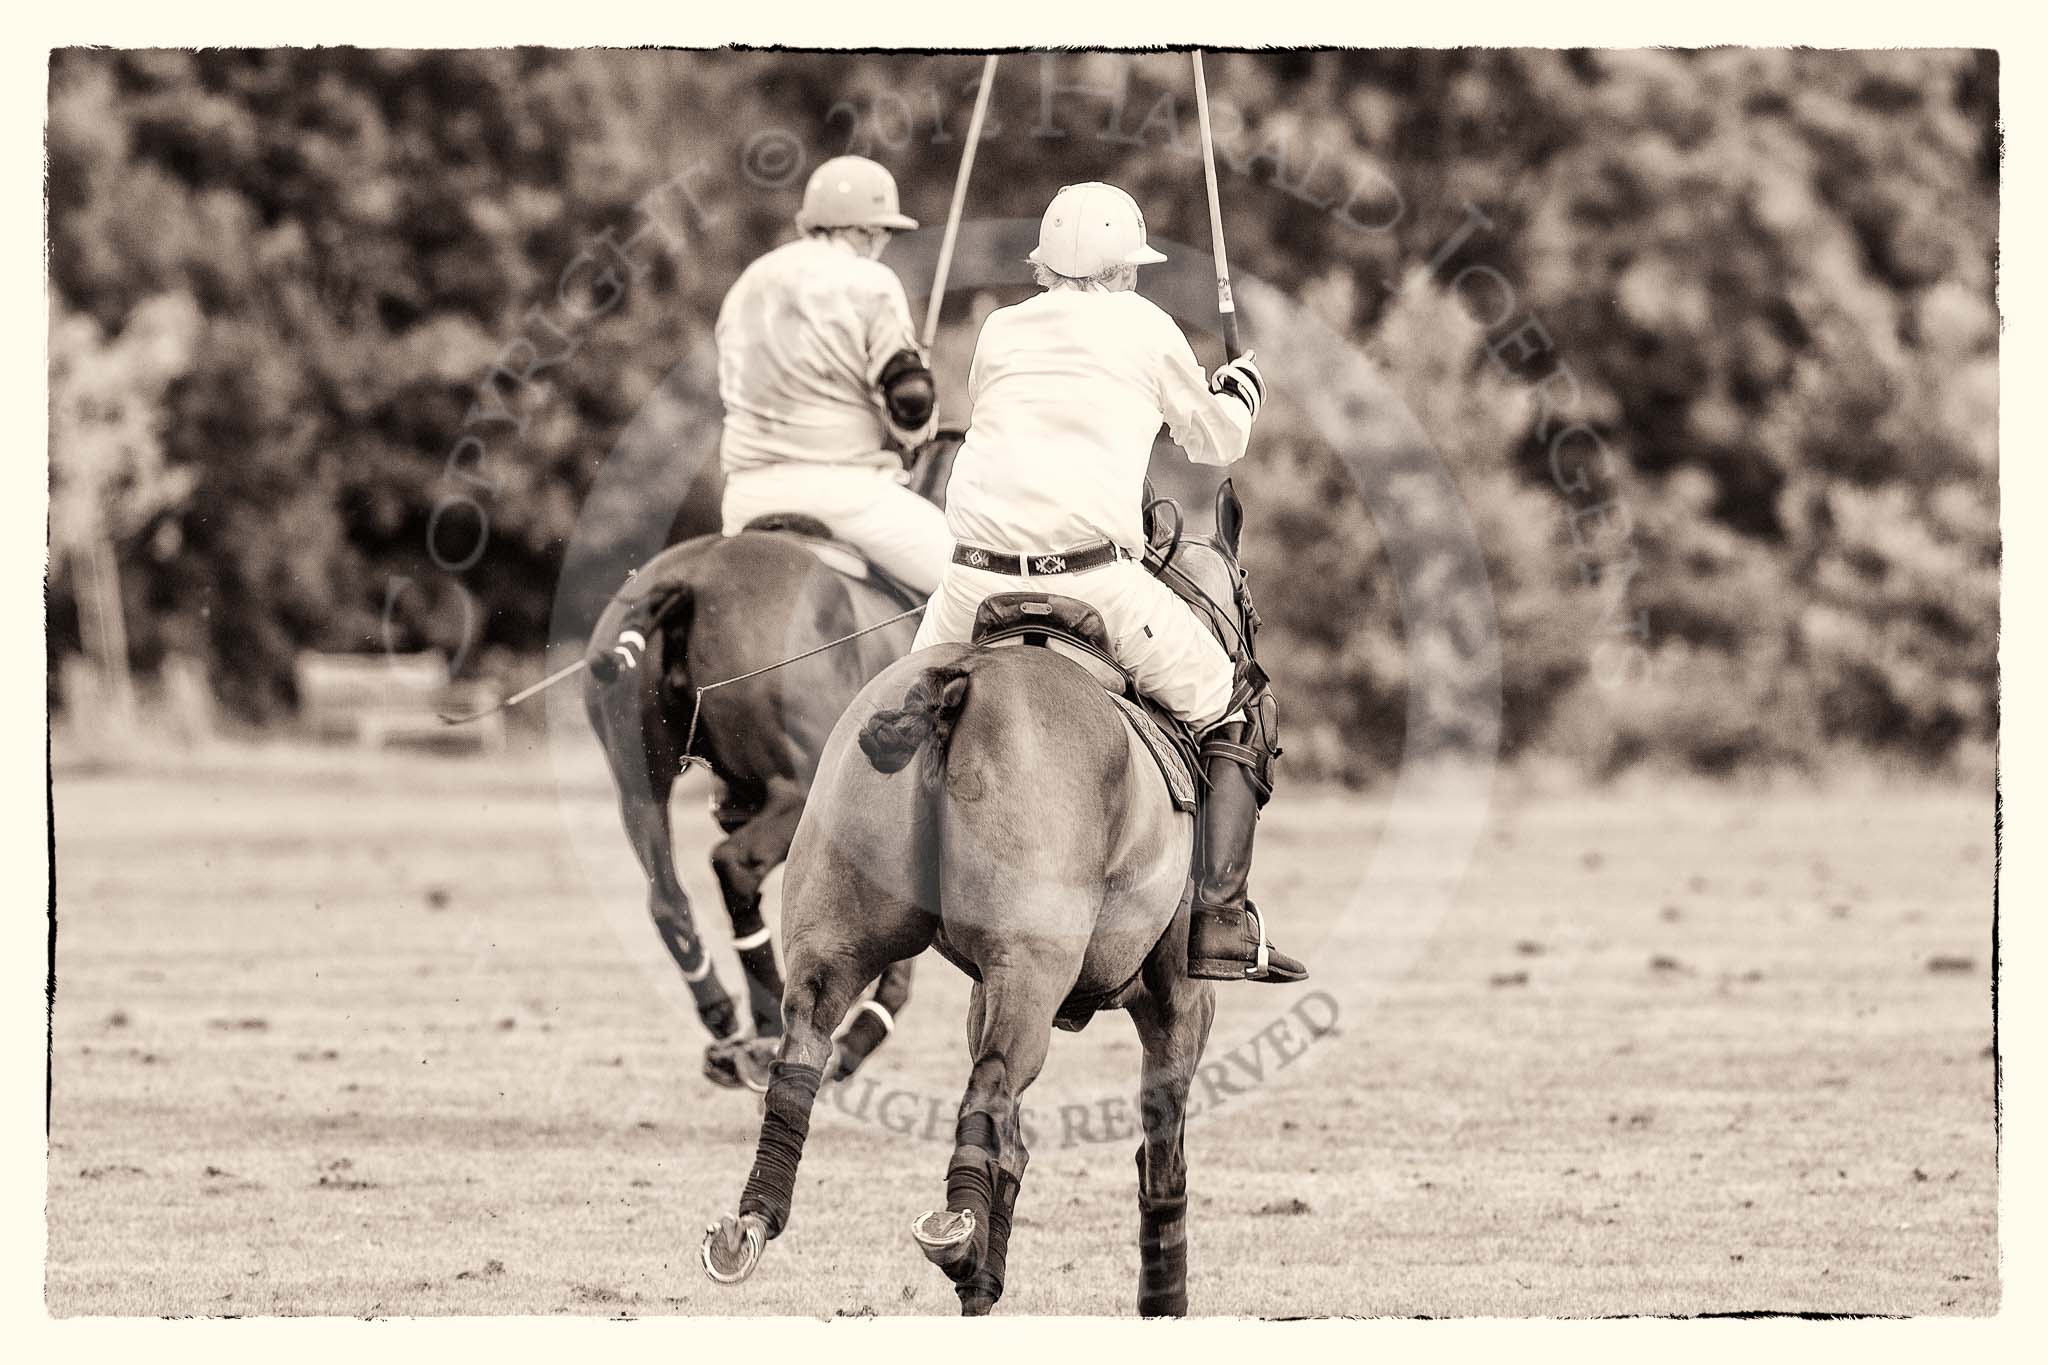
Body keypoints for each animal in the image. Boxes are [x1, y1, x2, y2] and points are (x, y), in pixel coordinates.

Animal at [577, 437, 958, 1088]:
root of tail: (691, 579)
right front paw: (861, 1035)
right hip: (803, 791)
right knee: (734, 866)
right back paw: (778, 1030)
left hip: (639, 783)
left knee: (669, 898)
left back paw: (730, 1026)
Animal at [700, 540, 1245, 1317]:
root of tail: (956, 683)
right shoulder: (1177, 997)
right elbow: (1160, 1149)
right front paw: (1162, 1297)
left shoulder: (980, 988)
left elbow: (1015, 1148)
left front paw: (984, 1283)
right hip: (1033, 970)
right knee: (992, 1083)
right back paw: (955, 1233)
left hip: (837, 935)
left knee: (804, 1044)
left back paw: (756, 1219)